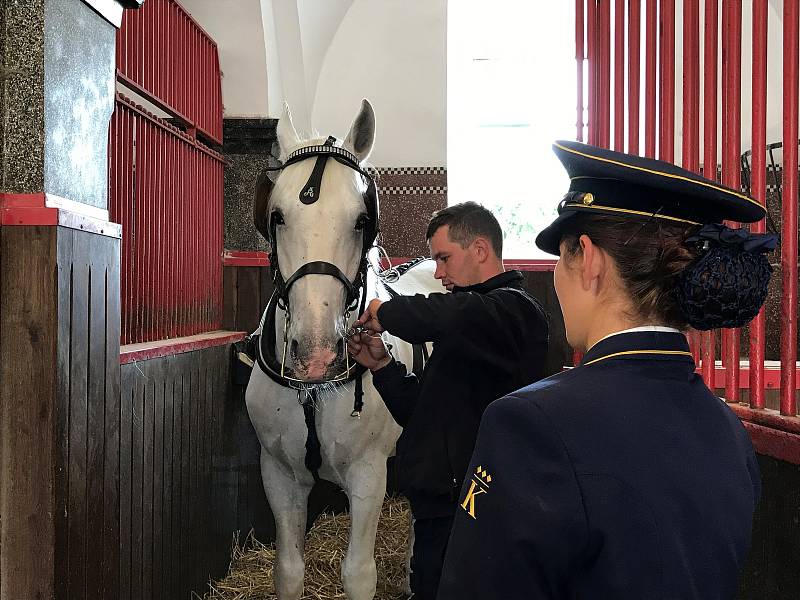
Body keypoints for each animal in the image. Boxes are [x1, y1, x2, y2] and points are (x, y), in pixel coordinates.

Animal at [247, 101, 440, 596]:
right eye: (276, 215)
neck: (314, 393)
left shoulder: (368, 474)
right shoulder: (279, 474)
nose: (316, 355)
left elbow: (357, 574)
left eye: (362, 219)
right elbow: (288, 571)